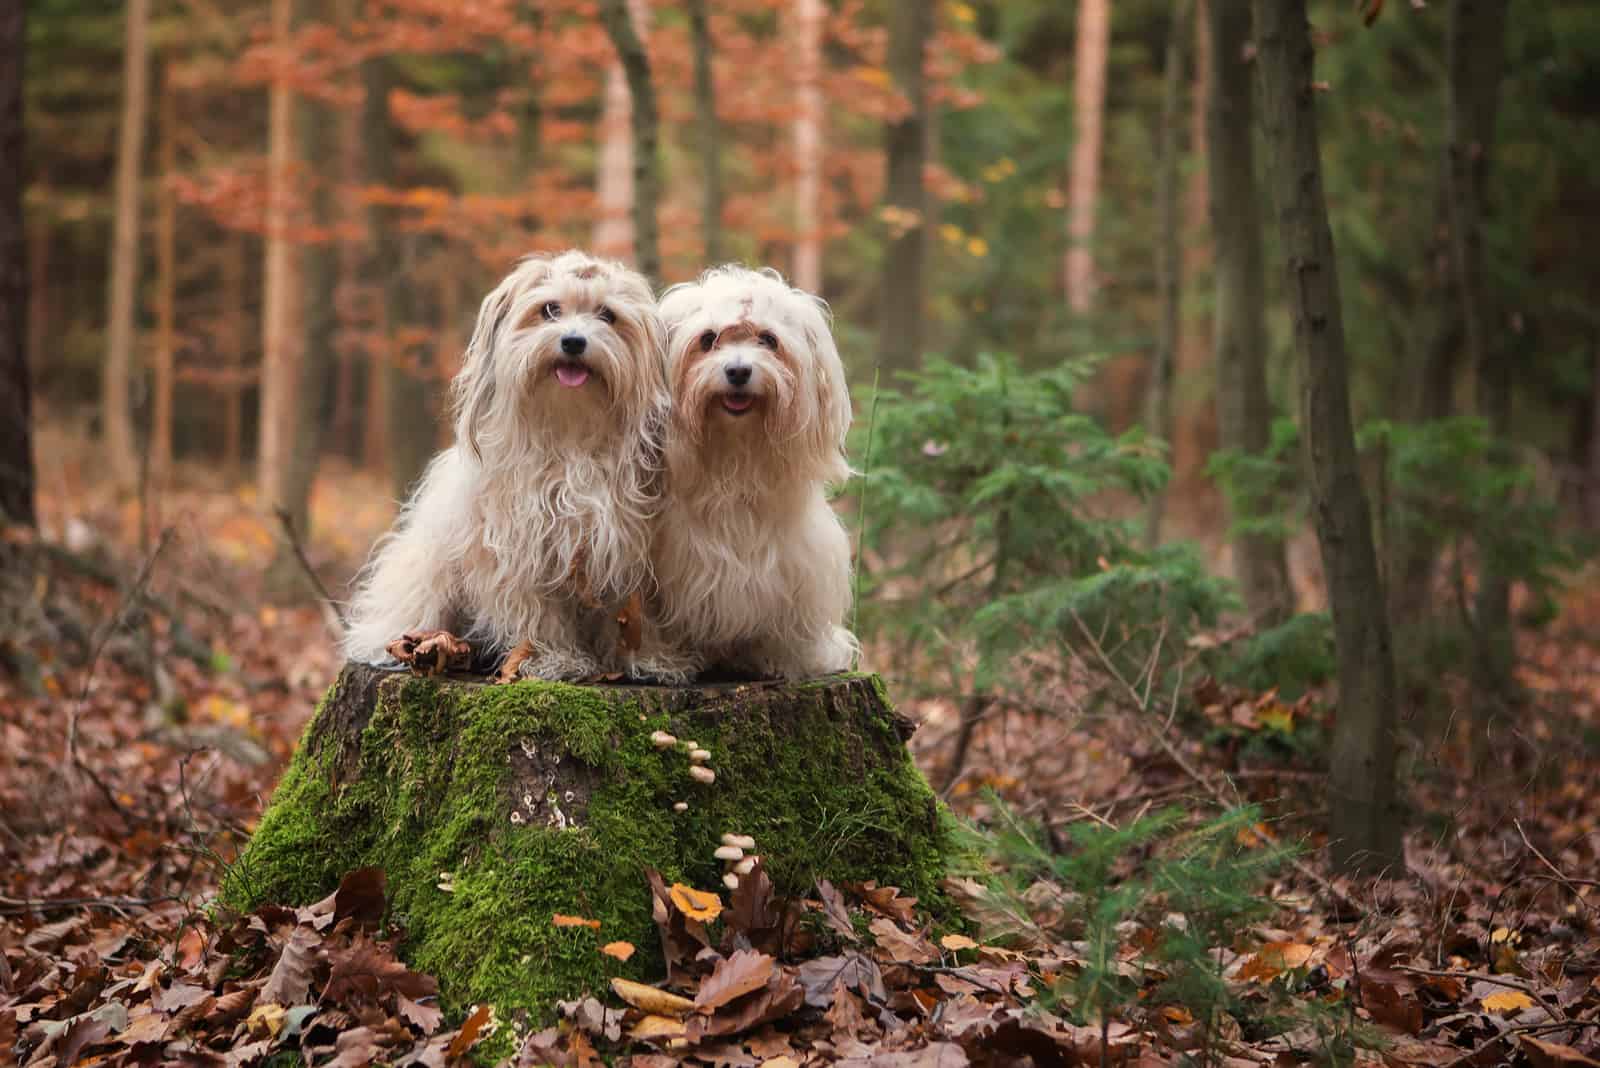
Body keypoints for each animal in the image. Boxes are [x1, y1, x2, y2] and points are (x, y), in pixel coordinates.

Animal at [344, 252, 675, 674]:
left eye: (607, 315)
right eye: (549, 310)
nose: (573, 341)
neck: (570, 436)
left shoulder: (625, 546)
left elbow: (630, 613)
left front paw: (649, 658)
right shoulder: (518, 548)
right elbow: (538, 611)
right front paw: (553, 658)